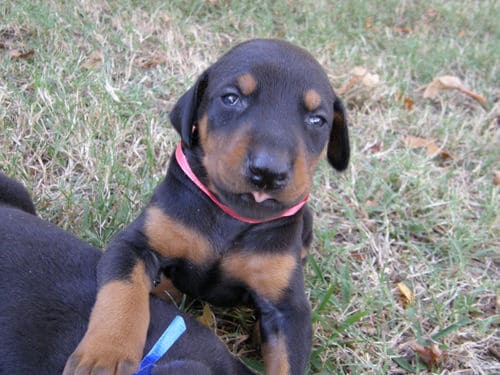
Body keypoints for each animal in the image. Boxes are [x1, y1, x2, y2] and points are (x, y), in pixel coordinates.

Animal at [66, 39, 350, 375]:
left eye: (317, 120)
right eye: (231, 98)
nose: (268, 172)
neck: (233, 215)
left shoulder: (289, 309)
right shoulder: (135, 244)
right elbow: (123, 294)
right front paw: (105, 355)